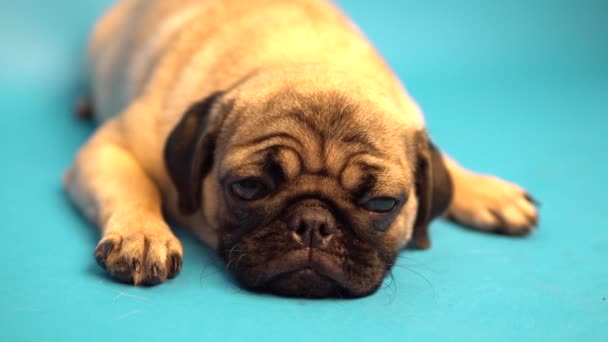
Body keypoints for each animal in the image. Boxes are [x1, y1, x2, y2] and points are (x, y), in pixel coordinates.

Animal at [66, 0, 540, 298]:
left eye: (383, 203)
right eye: (248, 188)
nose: (313, 223)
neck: (306, 58)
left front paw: (484, 190)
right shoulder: (113, 146)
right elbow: (134, 186)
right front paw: (143, 234)